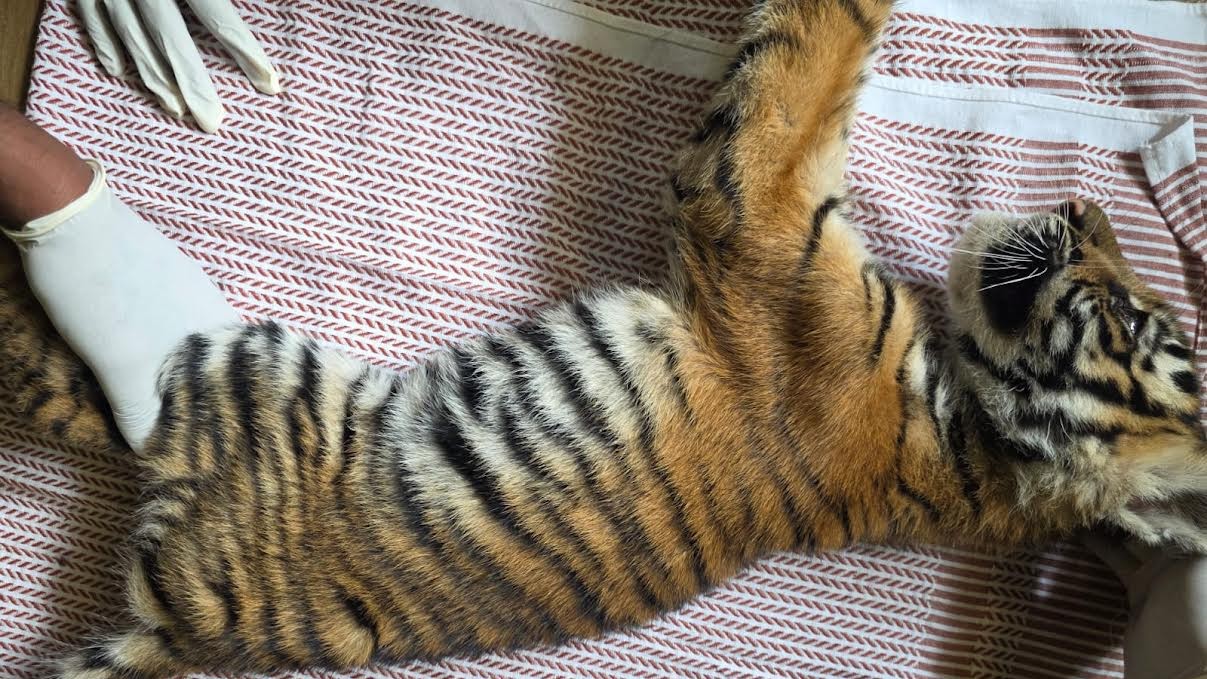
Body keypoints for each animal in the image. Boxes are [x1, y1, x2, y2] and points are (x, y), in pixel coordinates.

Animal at [0, 0, 1202, 677]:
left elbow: (820, 48)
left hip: (231, 371)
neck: (975, 454)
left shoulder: (758, 202)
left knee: (37, 357)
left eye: (1131, 315)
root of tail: (186, 632)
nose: (1087, 208)